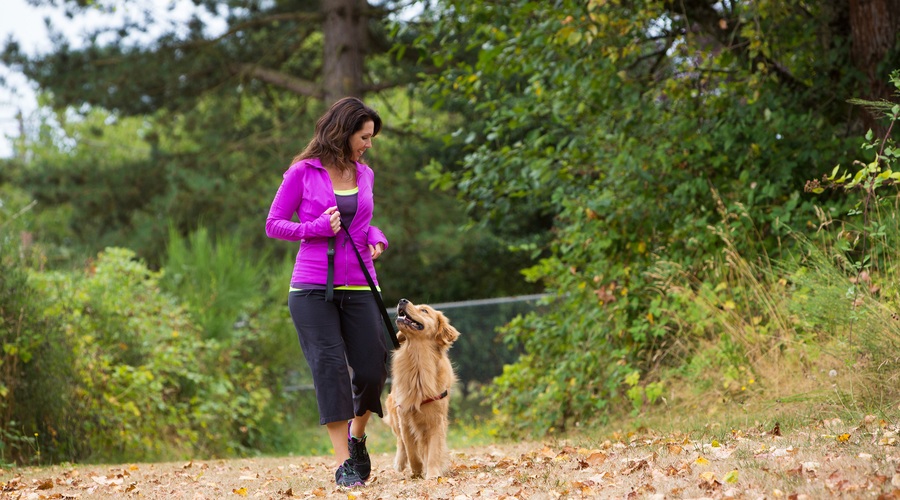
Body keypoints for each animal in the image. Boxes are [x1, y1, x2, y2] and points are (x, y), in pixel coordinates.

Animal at [384, 298, 460, 478]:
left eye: (424, 310)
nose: (402, 300)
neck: (418, 360)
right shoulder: (404, 415)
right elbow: (411, 449)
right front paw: (417, 470)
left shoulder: (436, 420)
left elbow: (433, 450)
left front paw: (432, 473)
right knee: (400, 442)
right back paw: (400, 463)